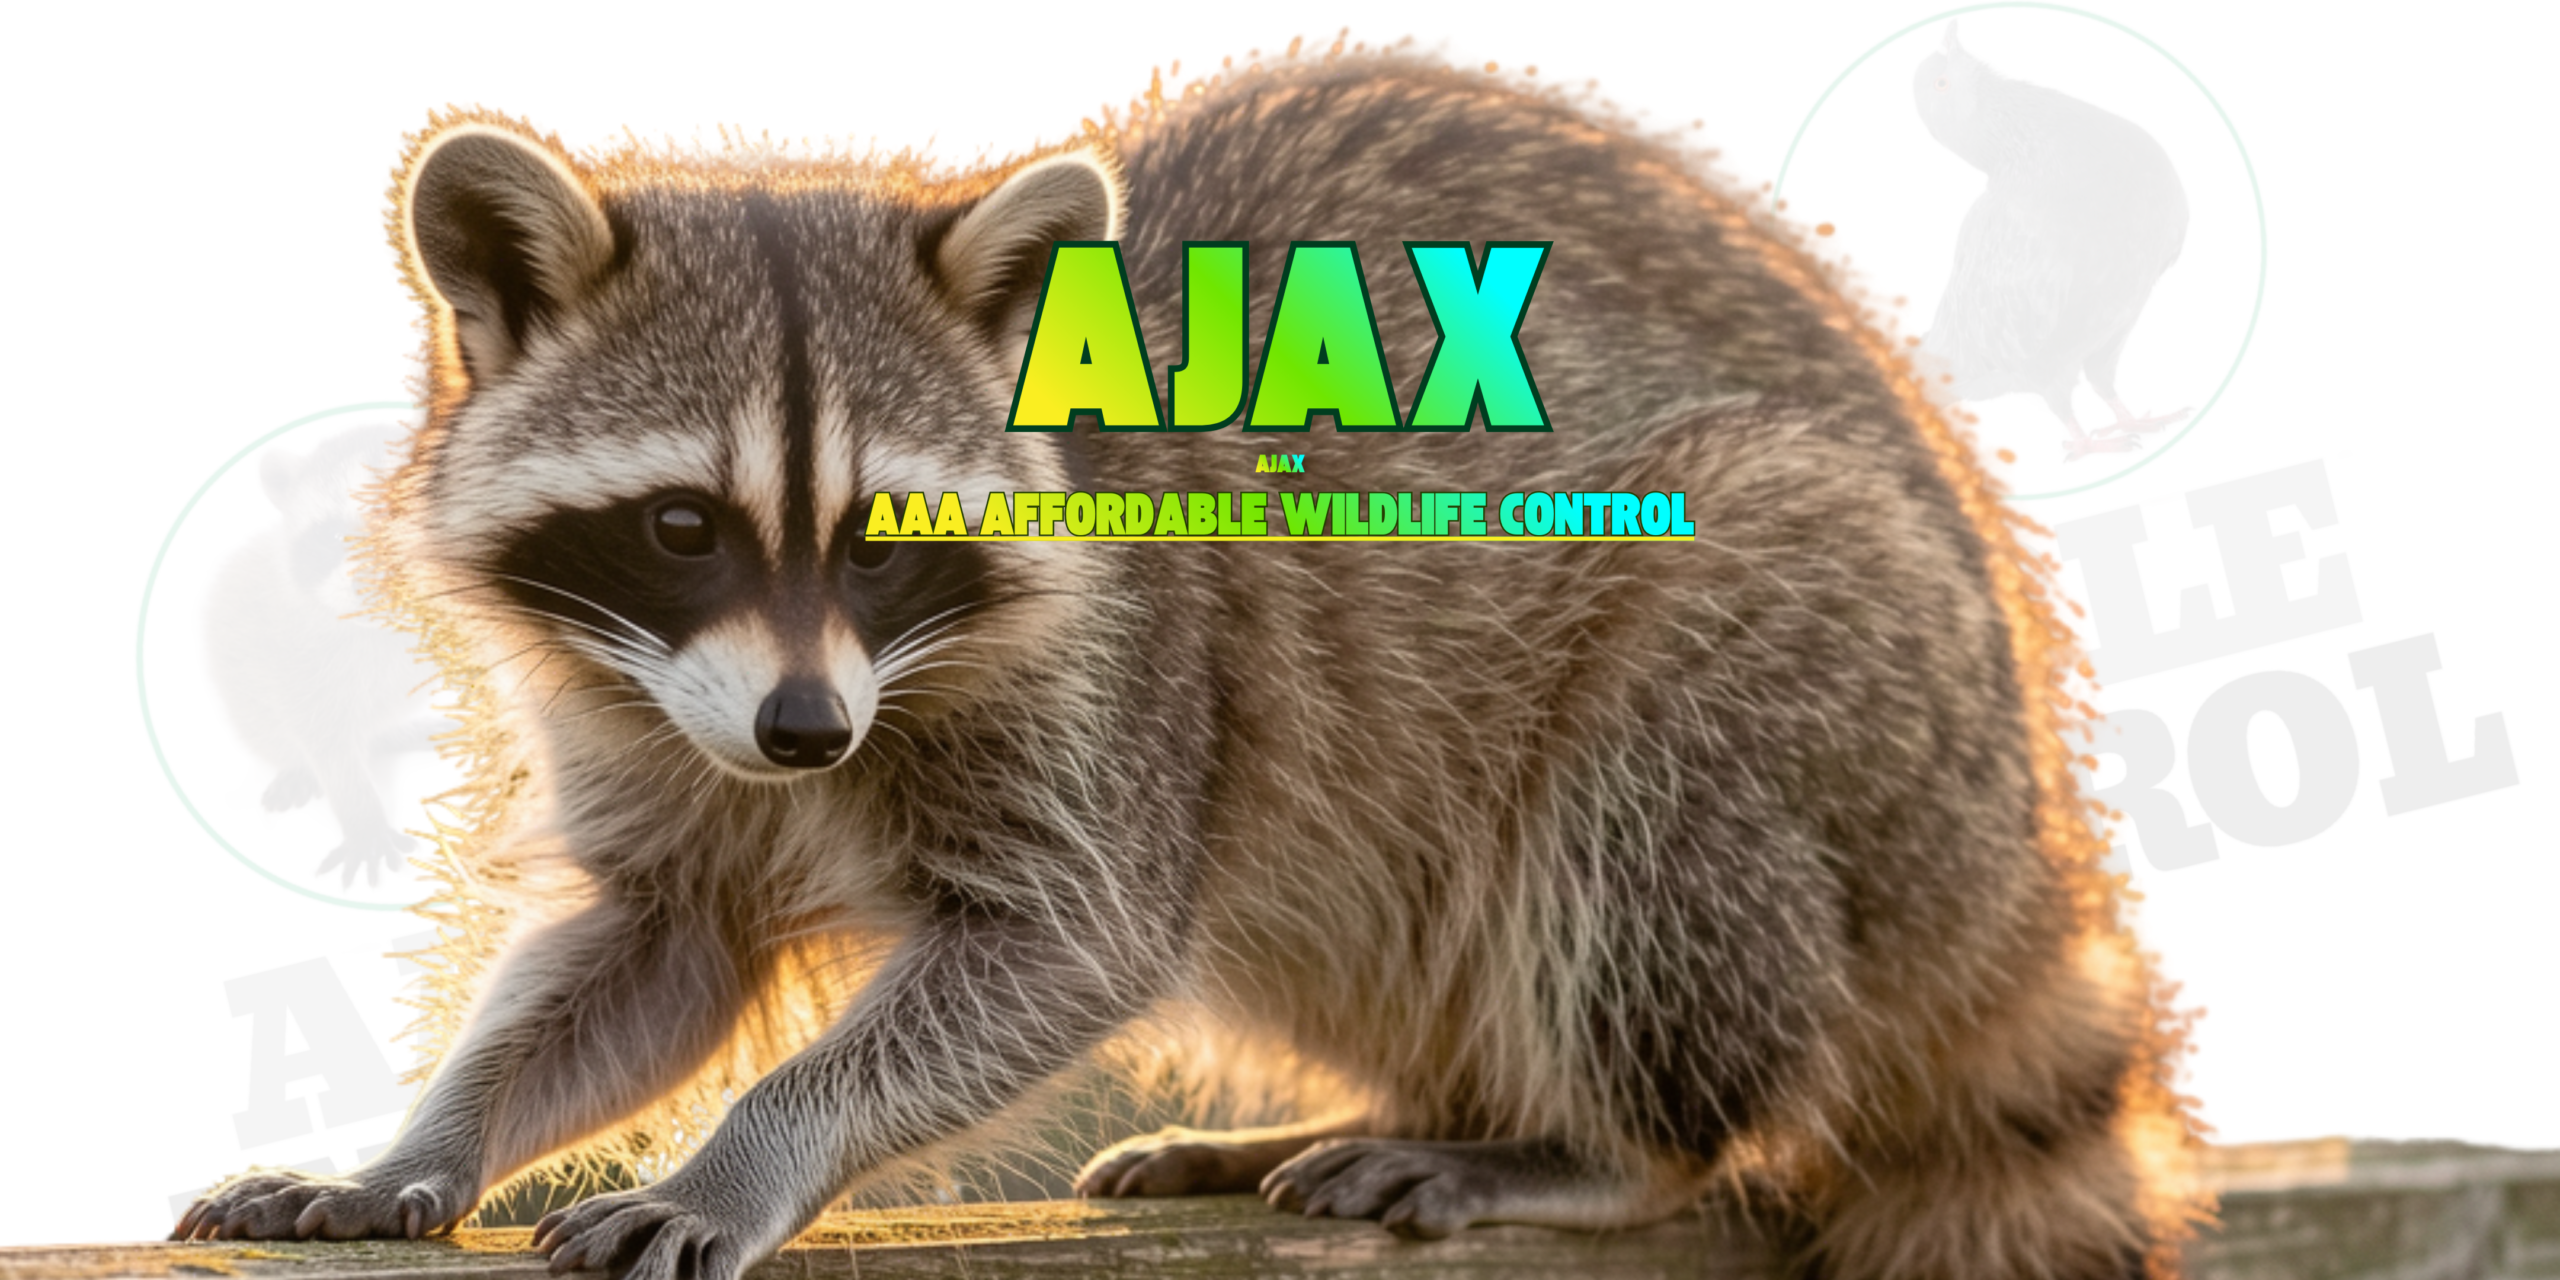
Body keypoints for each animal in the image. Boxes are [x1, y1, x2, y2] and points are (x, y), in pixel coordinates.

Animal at [172, 47, 2202, 1280]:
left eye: (886, 534)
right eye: (683, 526)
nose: (808, 734)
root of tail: (2013, 849)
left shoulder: (1124, 676)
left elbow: (1065, 946)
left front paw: (748, 1150)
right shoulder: (660, 710)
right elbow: (643, 958)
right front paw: (428, 1140)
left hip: (1820, 656)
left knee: (1648, 806)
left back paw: (1599, 1144)